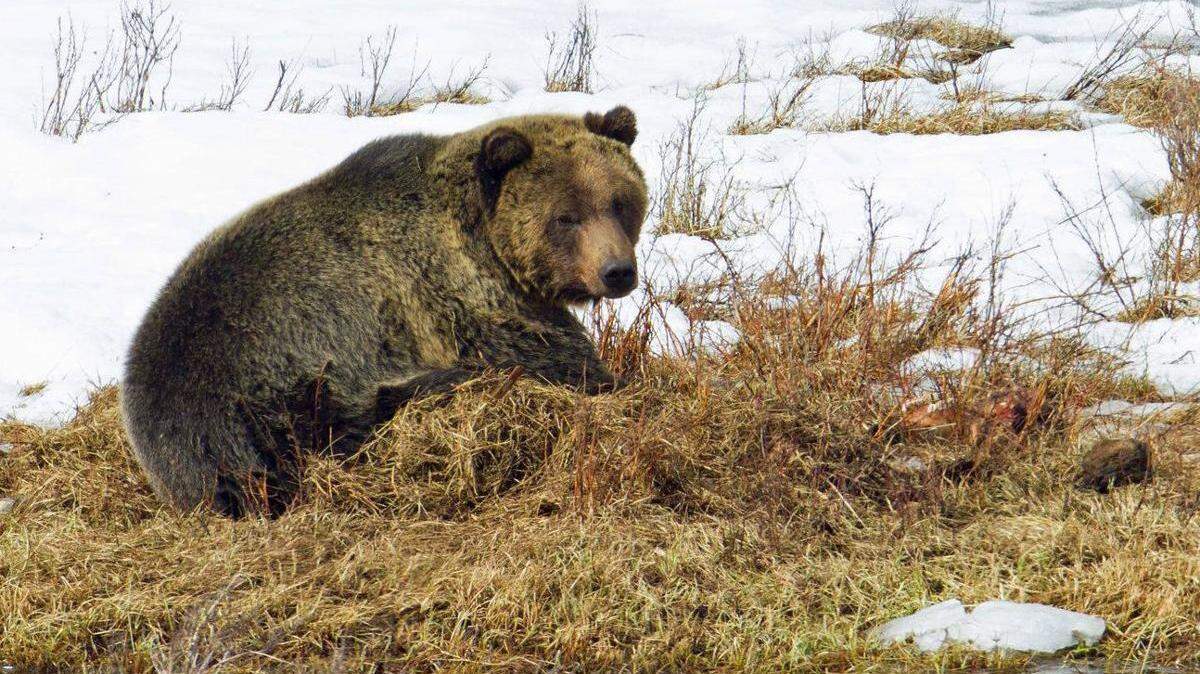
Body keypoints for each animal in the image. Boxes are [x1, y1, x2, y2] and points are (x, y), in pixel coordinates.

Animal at [120, 106, 647, 517]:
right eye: (566, 217)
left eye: (620, 201)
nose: (617, 271)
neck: (486, 242)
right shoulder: (456, 298)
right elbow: (546, 353)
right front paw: (609, 379)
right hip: (278, 389)